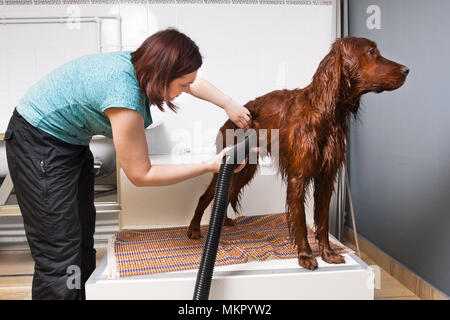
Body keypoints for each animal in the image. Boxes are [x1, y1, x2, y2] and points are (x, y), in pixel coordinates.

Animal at [186, 37, 408, 270]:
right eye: (371, 52)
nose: (407, 70)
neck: (325, 114)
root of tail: (230, 118)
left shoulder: (326, 178)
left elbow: (322, 221)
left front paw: (327, 253)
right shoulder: (297, 177)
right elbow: (300, 219)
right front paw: (306, 255)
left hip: (244, 170)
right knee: (205, 196)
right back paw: (194, 228)